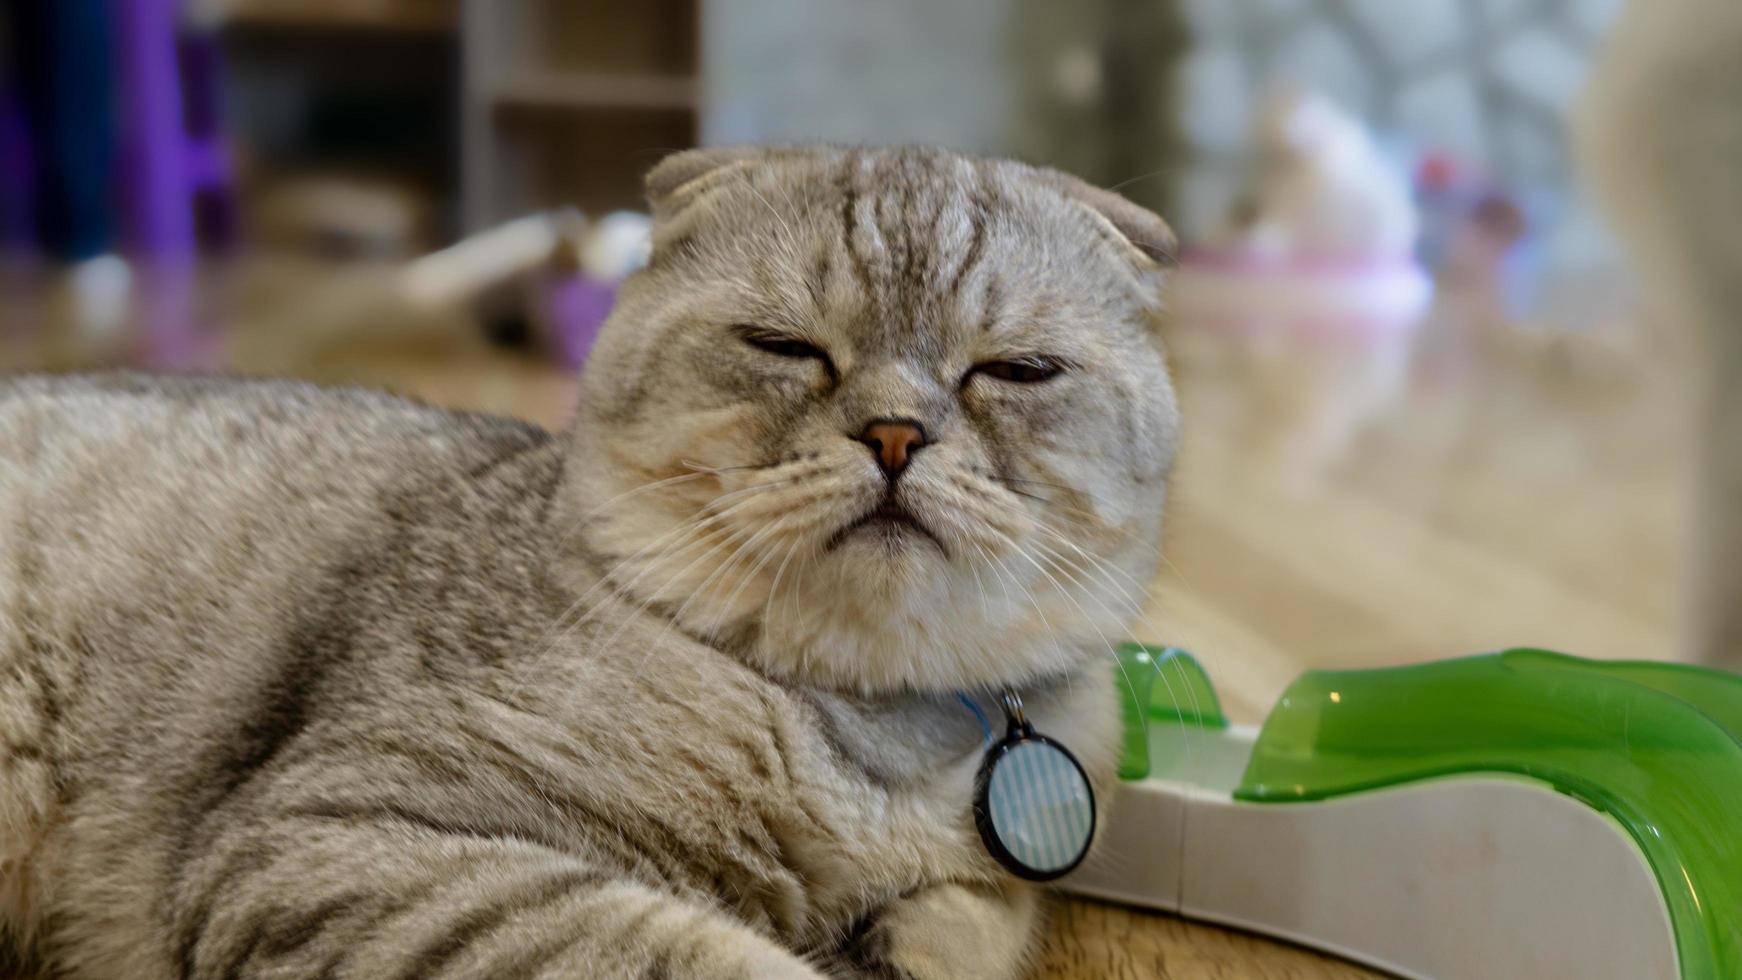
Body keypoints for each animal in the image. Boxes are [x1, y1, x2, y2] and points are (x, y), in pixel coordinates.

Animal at [0, 145, 1177, 980]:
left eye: (1016, 371)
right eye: (783, 347)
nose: (894, 433)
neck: (880, 732)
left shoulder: (990, 883)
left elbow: (976, 919)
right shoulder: (342, 837)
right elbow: (709, 955)